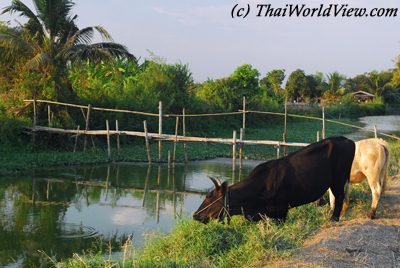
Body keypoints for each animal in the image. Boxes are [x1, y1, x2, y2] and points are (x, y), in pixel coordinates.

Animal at [192, 137, 354, 223]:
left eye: (209, 196)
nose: (195, 215)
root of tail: (348, 140)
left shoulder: (282, 210)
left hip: (338, 180)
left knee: (339, 197)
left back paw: (334, 218)